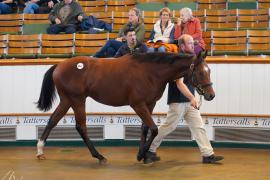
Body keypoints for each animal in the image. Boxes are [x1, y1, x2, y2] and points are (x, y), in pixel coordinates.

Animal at [35, 51, 214, 164]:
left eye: (209, 71)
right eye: (200, 72)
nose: (211, 95)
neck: (150, 71)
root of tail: (59, 65)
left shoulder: (149, 103)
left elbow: (145, 128)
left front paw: (145, 156)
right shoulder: (138, 104)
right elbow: (154, 128)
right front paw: (141, 155)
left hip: (67, 100)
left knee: (52, 121)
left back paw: (40, 151)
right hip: (77, 100)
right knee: (81, 127)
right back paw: (99, 156)